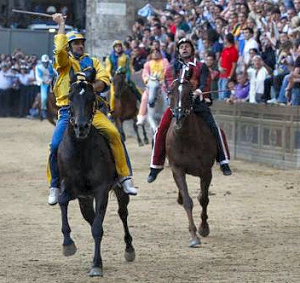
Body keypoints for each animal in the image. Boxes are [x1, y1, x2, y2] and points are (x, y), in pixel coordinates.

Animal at [56, 72, 136, 278]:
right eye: (70, 97)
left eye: (92, 98)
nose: (81, 127)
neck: (81, 152)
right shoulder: (71, 188)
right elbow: (62, 201)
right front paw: (68, 244)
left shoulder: (101, 190)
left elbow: (98, 228)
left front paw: (96, 265)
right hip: (84, 199)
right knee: (90, 217)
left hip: (119, 190)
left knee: (122, 213)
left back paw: (129, 249)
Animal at [165, 66, 217, 248]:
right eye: (171, 92)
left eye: (190, 93)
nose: (179, 116)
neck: (186, 138)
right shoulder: (177, 169)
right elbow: (188, 201)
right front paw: (194, 236)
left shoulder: (206, 171)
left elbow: (204, 199)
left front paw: (203, 228)